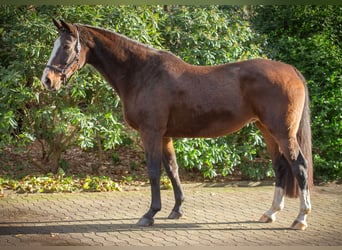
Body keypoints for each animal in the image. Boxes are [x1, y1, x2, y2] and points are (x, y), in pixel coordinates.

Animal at [41, 19, 314, 230]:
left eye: (66, 46)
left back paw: (300, 218)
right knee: (280, 166)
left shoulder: (150, 133)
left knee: (299, 165)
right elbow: (172, 169)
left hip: (282, 132)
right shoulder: (165, 136)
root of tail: (291, 70)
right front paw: (177, 210)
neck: (143, 74)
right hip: (267, 130)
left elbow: (153, 171)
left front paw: (150, 214)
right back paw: (271, 213)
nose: (47, 80)